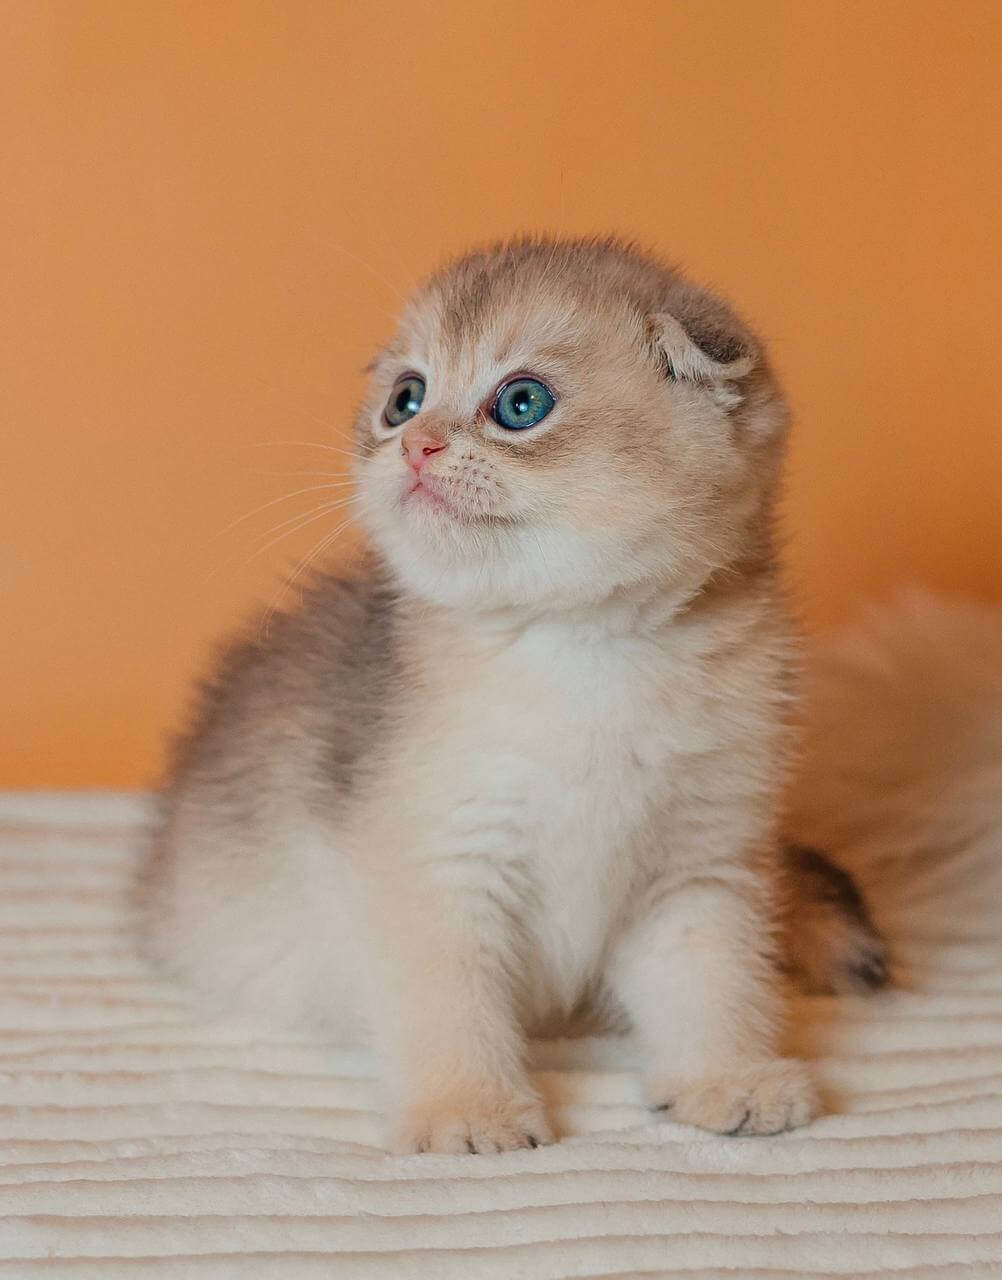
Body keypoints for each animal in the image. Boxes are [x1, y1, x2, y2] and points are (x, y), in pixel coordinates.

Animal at [141, 236, 885, 1154]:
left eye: (521, 404)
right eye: (404, 399)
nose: (416, 446)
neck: (585, 651)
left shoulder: (698, 864)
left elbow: (710, 980)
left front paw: (727, 1077)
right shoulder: (432, 861)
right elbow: (447, 999)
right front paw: (467, 1108)